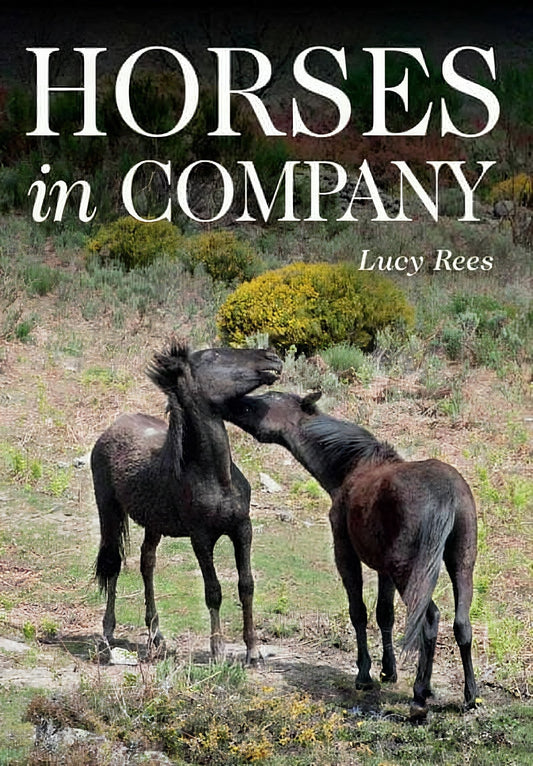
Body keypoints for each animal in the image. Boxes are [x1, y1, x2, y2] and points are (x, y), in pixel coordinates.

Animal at [91, 340, 282, 662]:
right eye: (214, 356)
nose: (273, 357)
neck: (216, 476)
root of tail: (112, 428)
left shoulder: (243, 529)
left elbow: (246, 585)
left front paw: (253, 650)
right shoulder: (201, 538)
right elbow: (213, 590)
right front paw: (217, 650)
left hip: (153, 525)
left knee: (147, 563)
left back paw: (156, 636)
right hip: (109, 511)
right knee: (113, 564)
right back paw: (107, 634)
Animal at [221, 389, 478, 718]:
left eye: (262, 402)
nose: (231, 402)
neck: (349, 467)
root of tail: (446, 494)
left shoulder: (346, 553)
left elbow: (359, 612)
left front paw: (365, 674)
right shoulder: (383, 568)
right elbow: (384, 614)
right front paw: (389, 671)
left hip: (410, 572)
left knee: (429, 619)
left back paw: (420, 695)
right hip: (460, 565)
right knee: (461, 624)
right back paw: (470, 695)